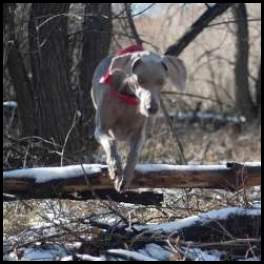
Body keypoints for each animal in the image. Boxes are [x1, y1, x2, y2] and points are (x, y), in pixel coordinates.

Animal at [92, 46, 187, 192]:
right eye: (140, 80)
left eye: (161, 81)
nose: (151, 108)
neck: (128, 96)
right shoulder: (100, 129)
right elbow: (110, 142)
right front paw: (115, 170)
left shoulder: (139, 133)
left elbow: (134, 154)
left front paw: (125, 177)